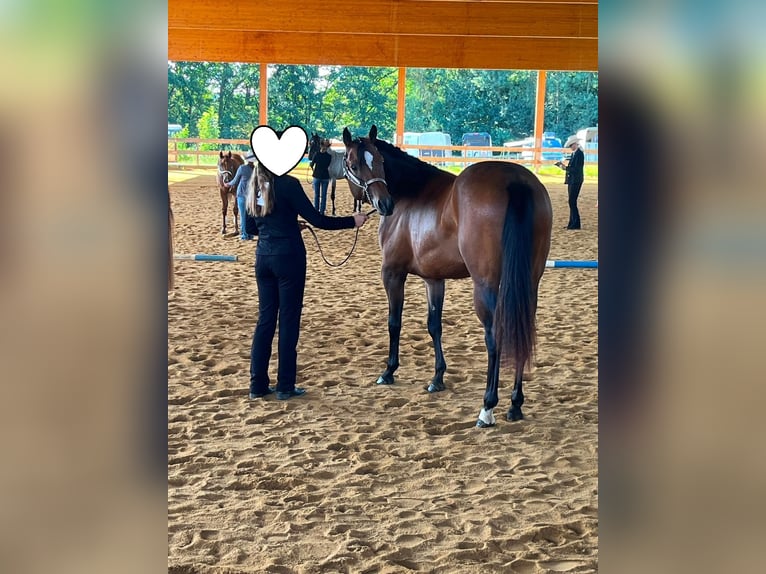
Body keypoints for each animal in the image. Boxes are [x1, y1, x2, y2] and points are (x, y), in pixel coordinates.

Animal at [342, 125, 553, 427]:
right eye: (355, 164)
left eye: (379, 160)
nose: (384, 204)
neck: (411, 192)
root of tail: (516, 180)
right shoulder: (434, 279)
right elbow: (434, 326)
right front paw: (437, 378)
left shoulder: (392, 273)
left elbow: (394, 323)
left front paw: (389, 371)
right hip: (530, 283)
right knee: (521, 328)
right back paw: (515, 404)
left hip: (485, 285)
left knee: (495, 336)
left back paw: (487, 408)